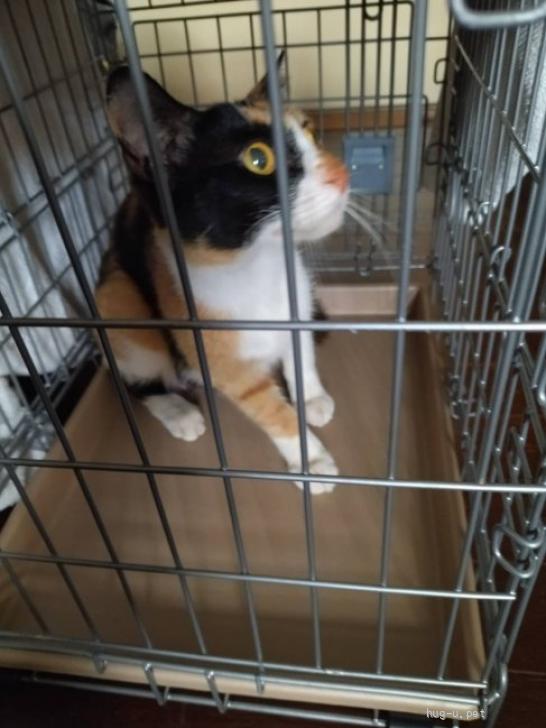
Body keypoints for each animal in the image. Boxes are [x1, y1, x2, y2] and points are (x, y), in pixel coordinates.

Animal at [95, 60, 348, 494]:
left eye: (312, 133)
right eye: (258, 159)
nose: (342, 173)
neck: (260, 269)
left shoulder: (297, 307)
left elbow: (301, 356)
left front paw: (311, 397)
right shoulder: (225, 363)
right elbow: (271, 411)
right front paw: (311, 461)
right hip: (118, 299)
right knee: (128, 379)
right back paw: (178, 411)